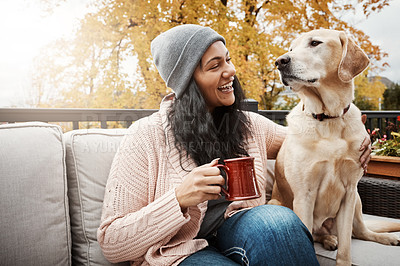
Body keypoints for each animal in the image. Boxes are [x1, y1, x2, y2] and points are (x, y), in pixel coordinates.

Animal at [268, 29, 400, 264]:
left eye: (314, 43)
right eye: (291, 49)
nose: (279, 61)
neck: (329, 118)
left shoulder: (349, 192)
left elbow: (346, 246)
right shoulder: (304, 196)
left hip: (357, 201)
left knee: (361, 232)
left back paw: (382, 238)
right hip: (276, 204)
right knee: (318, 235)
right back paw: (329, 239)